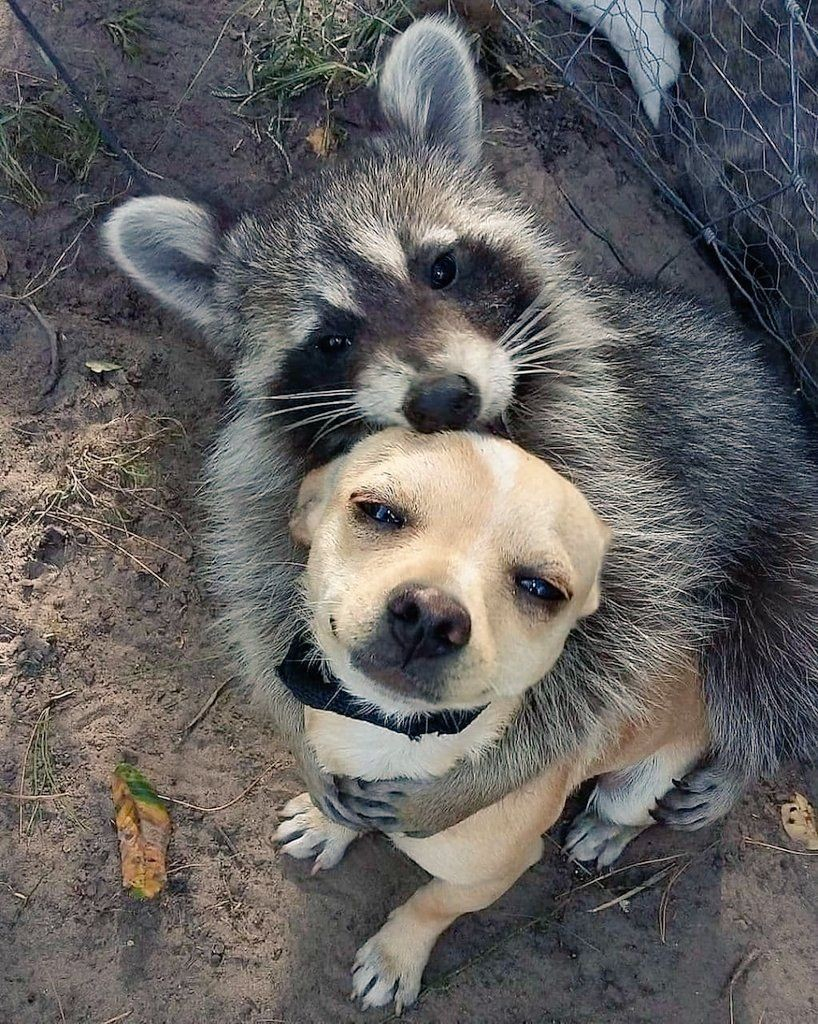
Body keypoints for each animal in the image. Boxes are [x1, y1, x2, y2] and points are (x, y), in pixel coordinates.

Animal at [103, 19, 818, 839]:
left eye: (440, 268)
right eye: (331, 339)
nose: (442, 397)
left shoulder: (616, 464)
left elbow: (615, 649)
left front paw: (476, 782)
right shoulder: (269, 471)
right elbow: (262, 586)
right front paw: (303, 739)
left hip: (788, 542)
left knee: (770, 660)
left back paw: (736, 763)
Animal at [274, 428, 708, 1011]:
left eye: (542, 589)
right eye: (379, 512)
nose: (431, 615)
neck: (392, 733)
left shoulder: (491, 876)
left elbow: (432, 904)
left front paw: (394, 958)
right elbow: (344, 806)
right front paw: (328, 825)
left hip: (643, 781)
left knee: (634, 813)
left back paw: (603, 832)